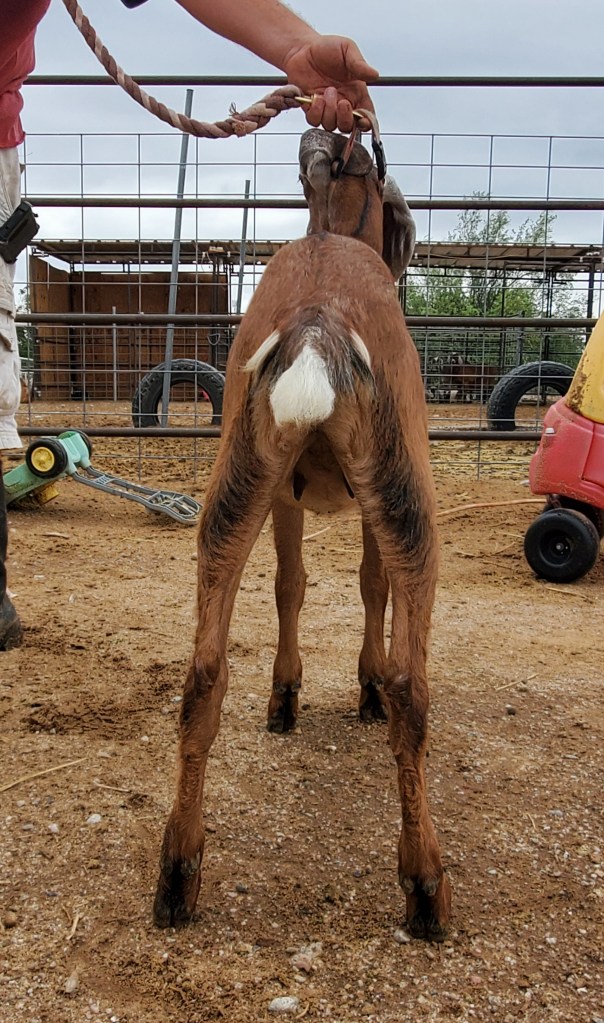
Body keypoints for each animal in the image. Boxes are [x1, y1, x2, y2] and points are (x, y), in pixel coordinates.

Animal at [153, 127, 451, 942]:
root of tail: (318, 322)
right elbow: (369, 585)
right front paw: (361, 685)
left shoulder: (282, 490)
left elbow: (290, 585)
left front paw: (284, 696)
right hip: (407, 492)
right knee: (414, 688)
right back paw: (426, 887)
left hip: (238, 475)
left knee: (203, 671)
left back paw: (177, 874)